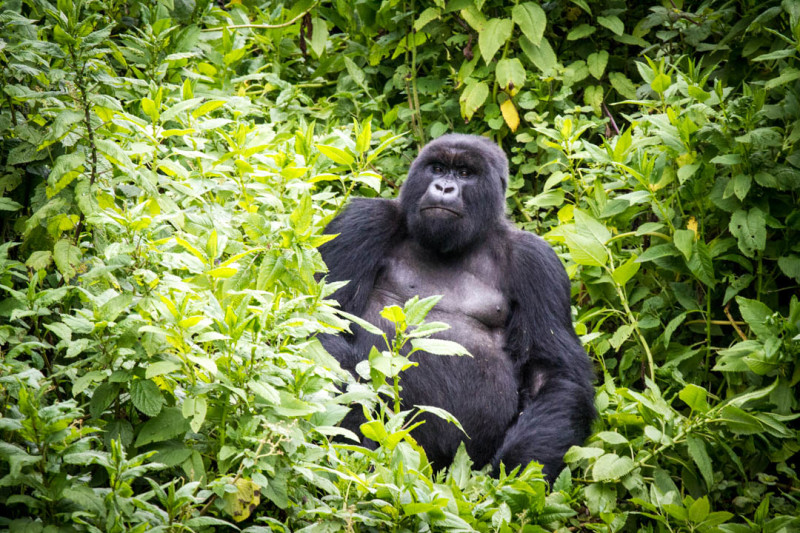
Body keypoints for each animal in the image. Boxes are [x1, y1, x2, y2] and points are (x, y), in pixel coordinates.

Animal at [318, 134, 592, 478]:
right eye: (437, 168)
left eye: (464, 173)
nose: (444, 188)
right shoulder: (363, 222)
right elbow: (320, 326)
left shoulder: (538, 262)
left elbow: (554, 375)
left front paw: (506, 477)